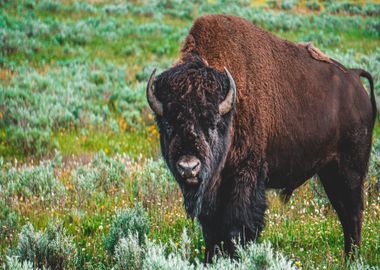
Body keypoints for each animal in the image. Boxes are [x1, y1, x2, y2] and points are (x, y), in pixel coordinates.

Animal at [145, 13, 378, 260]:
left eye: (212, 123)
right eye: (168, 124)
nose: (189, 167)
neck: (231, 108)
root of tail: (355, 79)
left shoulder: (245, 177)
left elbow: (239, 225)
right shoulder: (213, 192)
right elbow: (211, 229)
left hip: (350, 169)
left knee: (353, 211)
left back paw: (352, 257)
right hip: (329, 171)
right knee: (344, 210)